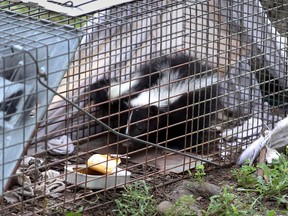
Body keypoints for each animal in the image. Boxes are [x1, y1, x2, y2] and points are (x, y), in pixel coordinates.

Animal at [90, 53, 220, 149]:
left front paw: (175, 145)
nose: (127, 141)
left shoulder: (183, 111)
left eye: (141, 127)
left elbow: (182, 130)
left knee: (200, 123)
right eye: (124, 122)